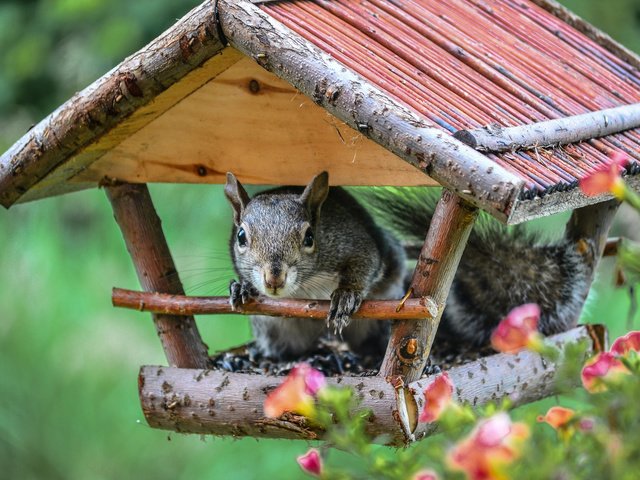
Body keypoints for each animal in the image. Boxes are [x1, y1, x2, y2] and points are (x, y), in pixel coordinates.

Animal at [224, 172, 592, 360]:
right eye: (241, 236)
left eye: (310, 237)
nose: (273, 278)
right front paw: (240, 287)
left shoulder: (355, 243)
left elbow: (364, 265)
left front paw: (345, 296)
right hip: (275, 330)